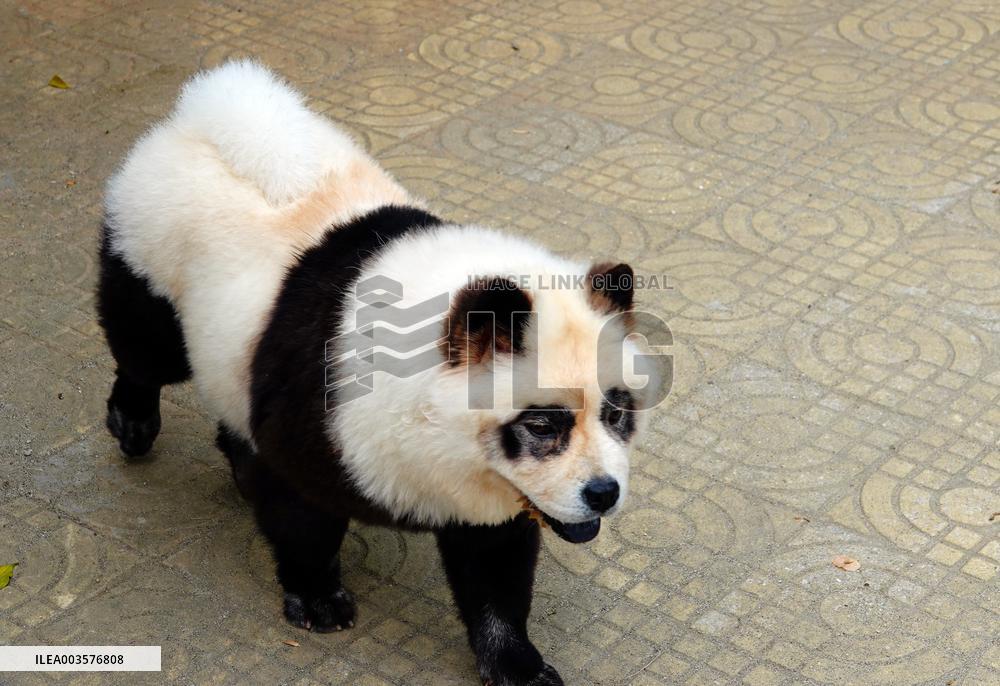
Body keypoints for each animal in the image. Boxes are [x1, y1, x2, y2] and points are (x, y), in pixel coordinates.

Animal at [98, 60, 658, 686]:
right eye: (541, 426)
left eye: (617, 413)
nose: (603, 493)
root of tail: (203, 114)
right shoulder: (326, 410)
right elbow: (300, 508)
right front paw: (317, 597)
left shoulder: (493, 485)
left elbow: (494, 563)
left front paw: (515, 660)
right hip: (150, 254)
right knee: (146, 347)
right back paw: (133, 419)